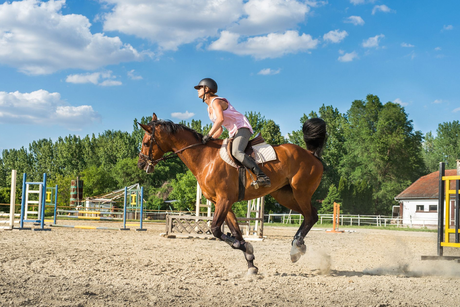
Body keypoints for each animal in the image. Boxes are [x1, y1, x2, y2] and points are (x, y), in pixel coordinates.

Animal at [137, 113, 328, 276]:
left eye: (146, 143)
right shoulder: (221, 202)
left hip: (300, 192)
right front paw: (250, 261)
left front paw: (242, 248)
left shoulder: (224, 199)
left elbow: (216, 229)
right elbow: (235, 231)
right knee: (310, 215)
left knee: (311, 216)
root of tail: (312, 155)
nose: (140, 164)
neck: (205, 158)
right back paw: (297, 246)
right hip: (285, 196)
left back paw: (296, 248)